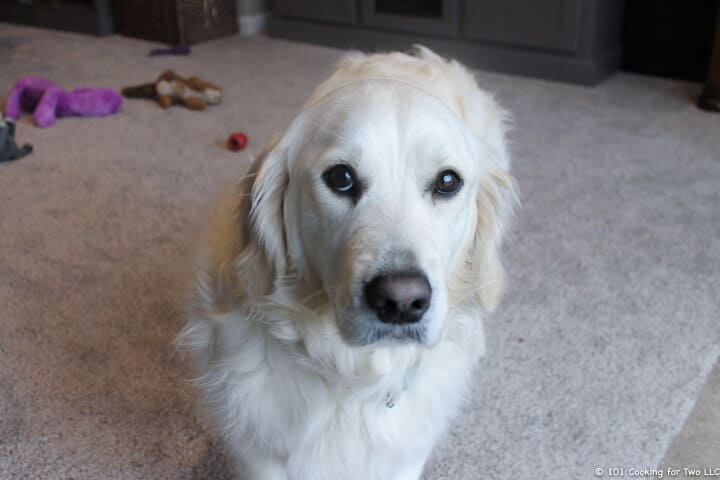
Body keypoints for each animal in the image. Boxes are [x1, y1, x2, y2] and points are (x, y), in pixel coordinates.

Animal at [180, 46, 516, 480]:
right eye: (341, 177)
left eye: (447, 182)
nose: (401, 302)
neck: (352, 377)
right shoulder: (260, 455)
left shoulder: (405, 459)